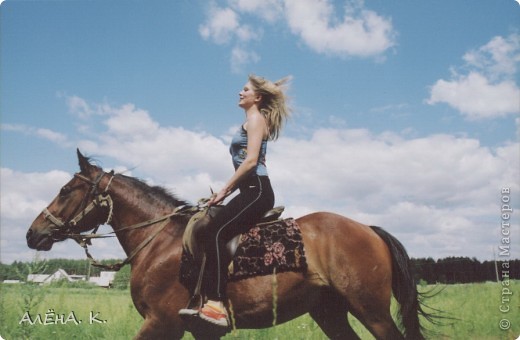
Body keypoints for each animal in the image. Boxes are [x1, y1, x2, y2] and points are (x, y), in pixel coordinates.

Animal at [26, 151, 430, 340]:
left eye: (66, 190)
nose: (33, 233)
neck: (159, 244)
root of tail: (369, 229)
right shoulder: (199, 331)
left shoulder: (161, 324)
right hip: (330, 312)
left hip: (372, 311)